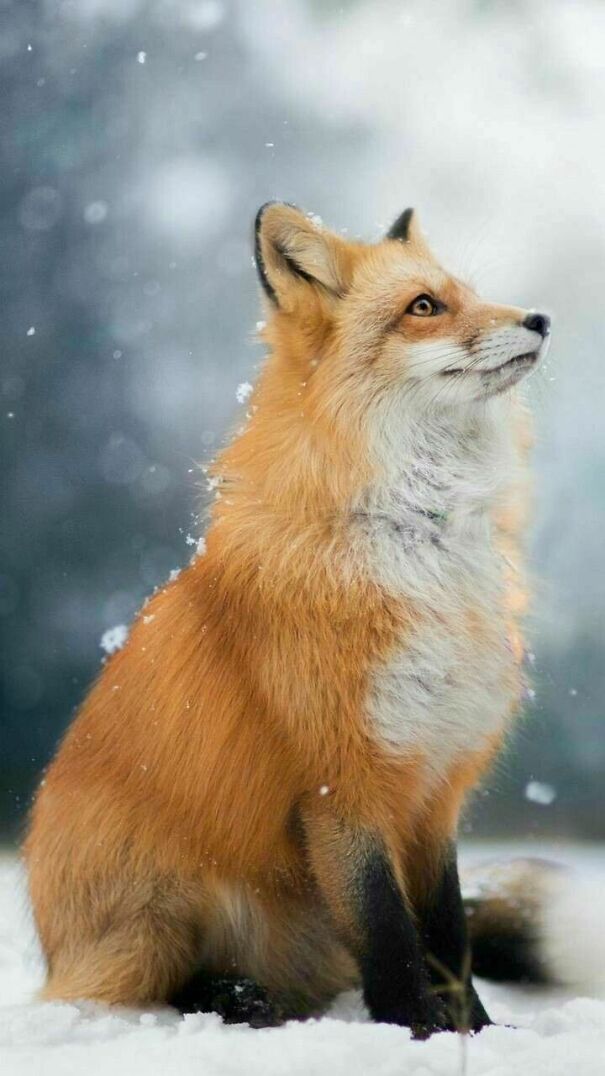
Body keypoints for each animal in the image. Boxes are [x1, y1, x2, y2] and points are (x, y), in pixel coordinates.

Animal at [25, 202, 553, 1037]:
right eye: (424, 307)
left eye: (468, 293)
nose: (538, 318)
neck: (416, 537)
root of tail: (52, 947)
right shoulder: (340, 784)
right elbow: (388, 933)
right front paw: (415, 1033)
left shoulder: (434, 788)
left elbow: (447, 934)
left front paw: (476, 1033)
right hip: (159, 914)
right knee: (146, 986)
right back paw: (234, 998)